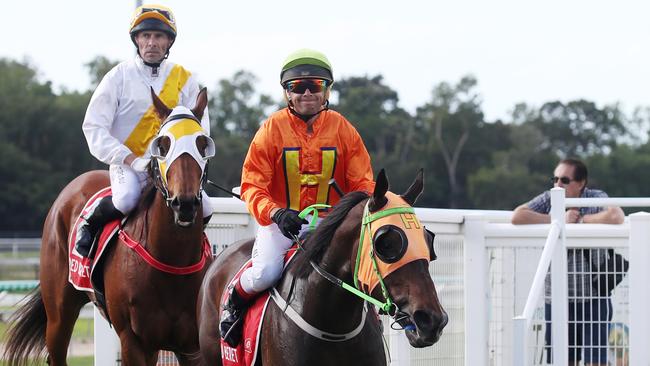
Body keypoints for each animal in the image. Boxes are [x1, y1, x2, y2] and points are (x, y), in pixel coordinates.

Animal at [3, 88, 214, 366]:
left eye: (202, 144)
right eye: (163, 145)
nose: (185, 203)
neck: (172, 262)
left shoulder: (191, 346)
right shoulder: (132, 340)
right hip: (59, 312)